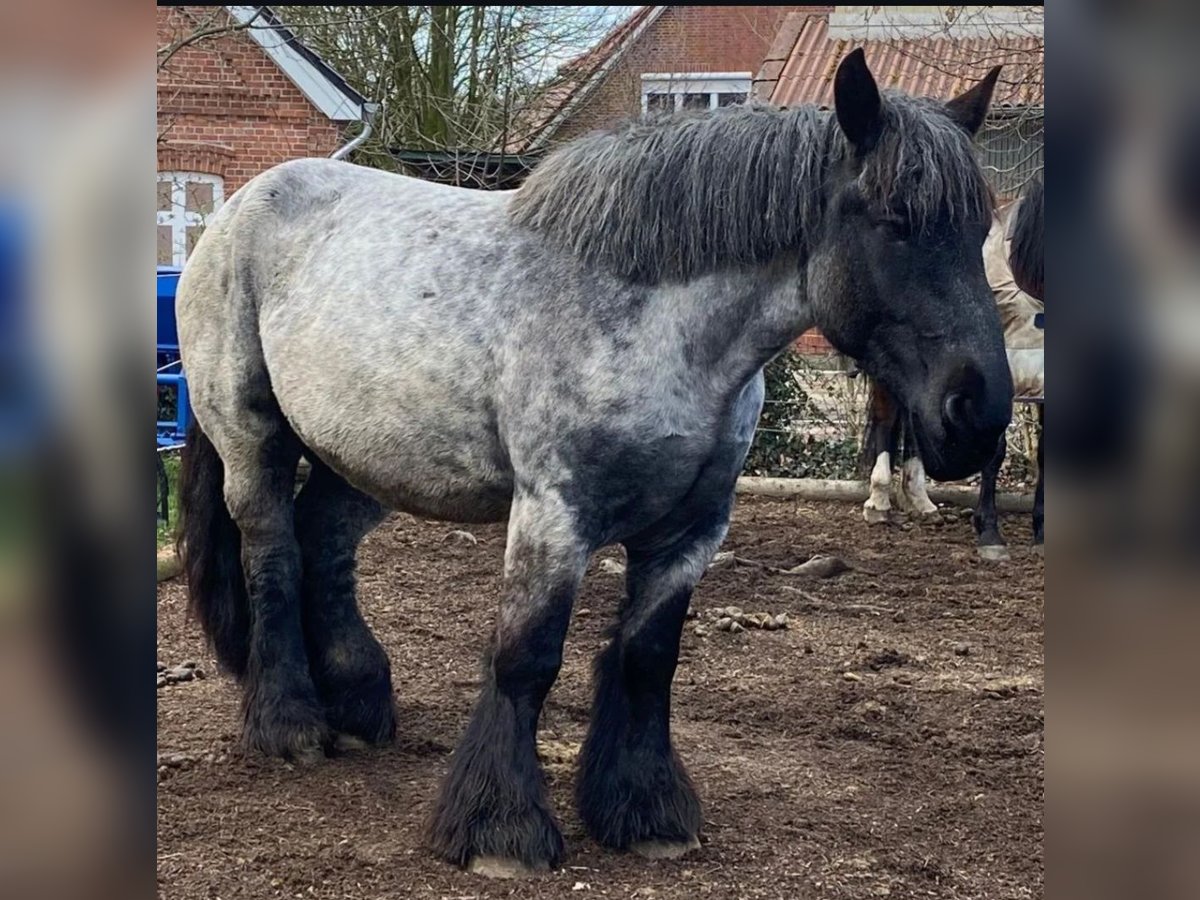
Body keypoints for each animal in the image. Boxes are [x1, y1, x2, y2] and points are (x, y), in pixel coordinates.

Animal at [171, 51, 1012, 883]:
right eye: (896, 223)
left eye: (979, 228)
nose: (978, 413)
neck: (654, 321)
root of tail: (234, 211)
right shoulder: (555, 516)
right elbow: (525, 658)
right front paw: (500, 831)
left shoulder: (692, 531)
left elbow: (647, 657)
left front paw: (645, 813)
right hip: (252, 435)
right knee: (274, 554)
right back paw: (290, 725)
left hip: (365, 454)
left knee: (325, 545)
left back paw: (357, 704)